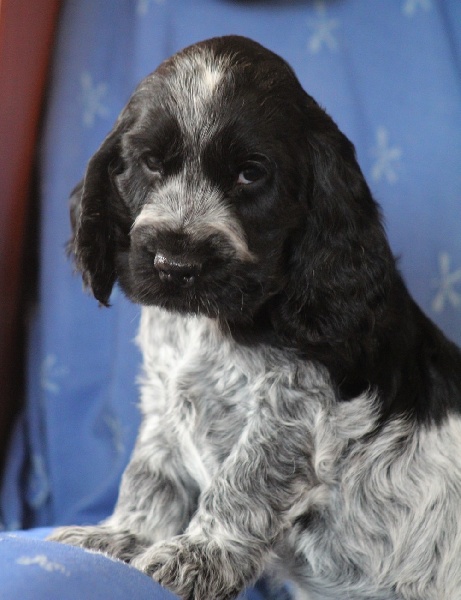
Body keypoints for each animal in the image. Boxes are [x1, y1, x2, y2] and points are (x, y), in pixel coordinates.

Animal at [47, 37, 461, 600]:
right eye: (150, 163)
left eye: (251, 173)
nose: (176, 266)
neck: (214, 321)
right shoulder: (162, 398)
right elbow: (150, 473)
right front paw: (122, 537)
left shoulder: (293, 407)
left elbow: (244, 481)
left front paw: (198, 555)